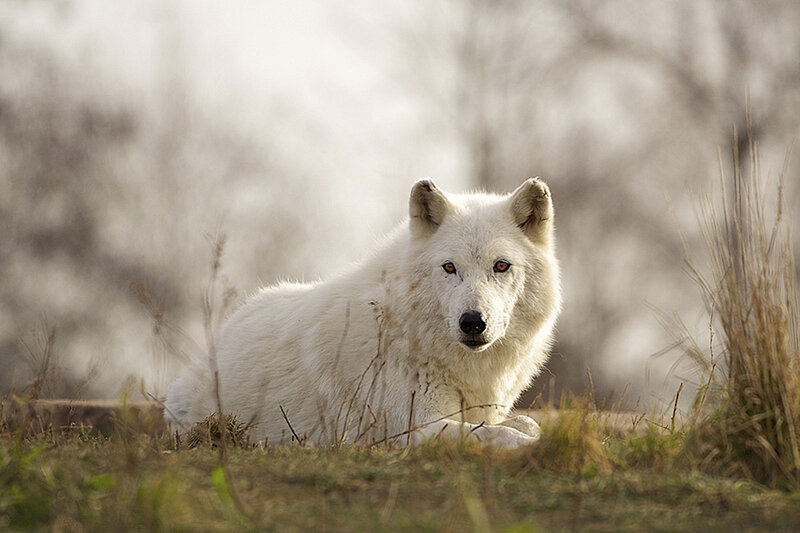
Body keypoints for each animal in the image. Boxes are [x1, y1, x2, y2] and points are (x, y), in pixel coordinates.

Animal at [165, 178, 561, 449]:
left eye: (501, 265)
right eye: (449, 268)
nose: (473, 322)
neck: (407, 332)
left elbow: (526, 425)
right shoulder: (412, 430)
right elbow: (505, 436)